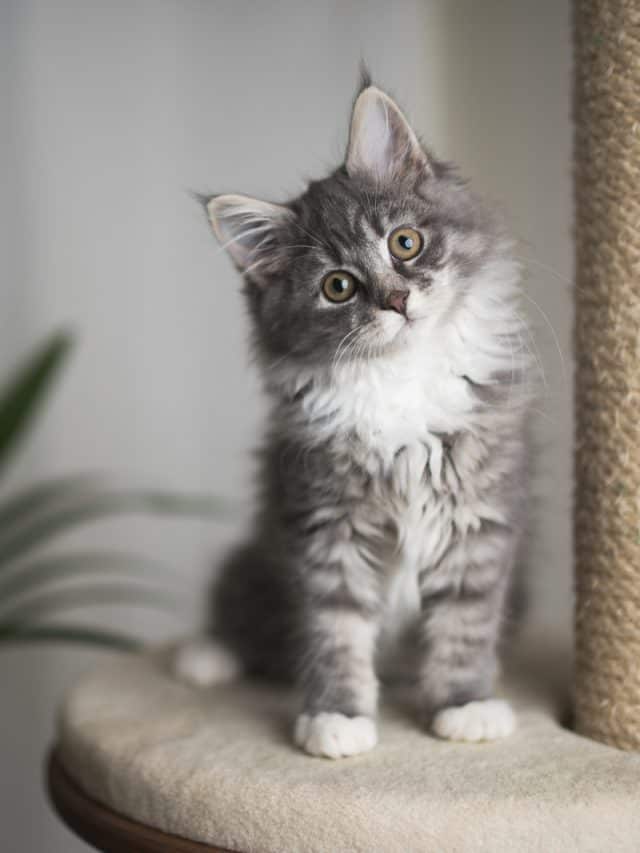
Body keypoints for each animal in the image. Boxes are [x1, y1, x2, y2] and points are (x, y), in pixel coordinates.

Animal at [174, 78, 528, 760]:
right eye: (338, 286)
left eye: (405, 243)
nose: (397, 300)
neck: (399, 379)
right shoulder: (325, 524)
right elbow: (333, 630)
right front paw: (335, 717)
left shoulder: (477, 517)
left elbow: (465, 621)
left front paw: (464, 704)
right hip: (255, 559)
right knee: (244, 619)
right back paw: (204, 656)